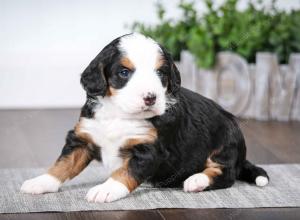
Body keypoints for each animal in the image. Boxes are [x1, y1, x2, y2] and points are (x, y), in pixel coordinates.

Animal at [21, 33, 270, 203]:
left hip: (225, 142)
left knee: (226, 173)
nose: (150, 98)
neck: (119, 113)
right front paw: (40, 182)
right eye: (124, 72)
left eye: (160, 73)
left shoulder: (150, 150)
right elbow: (63, 164)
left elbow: (125, 172)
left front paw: (106, 189)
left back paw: (196, 180)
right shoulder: (83, 137)